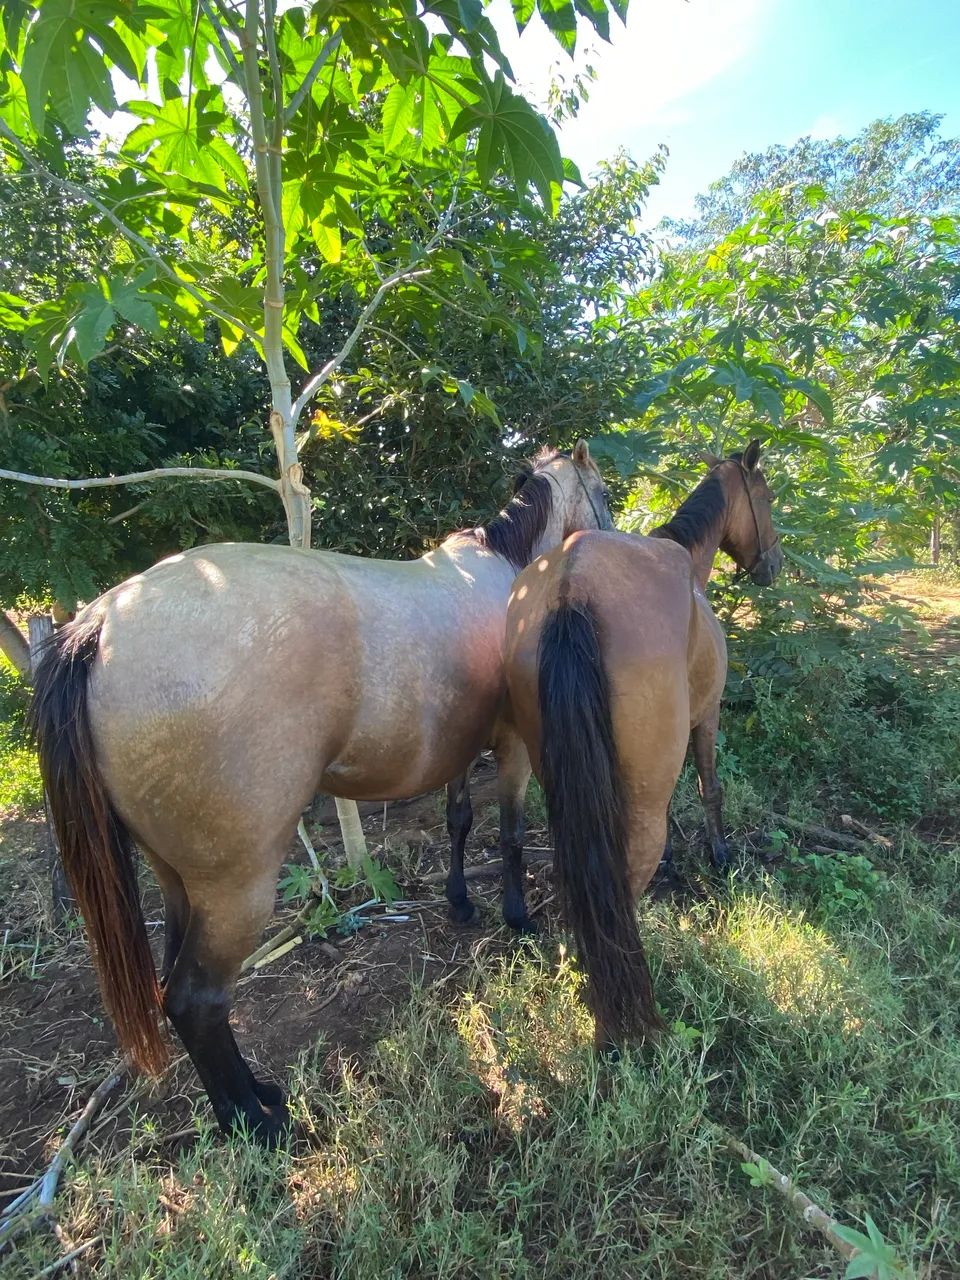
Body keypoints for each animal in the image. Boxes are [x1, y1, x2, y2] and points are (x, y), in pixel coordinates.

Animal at [30, 442, 612, 1142]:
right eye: (605, 495)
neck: (502, 570)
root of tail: (98, 625)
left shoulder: (458, 746)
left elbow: (460, 821)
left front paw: (461, 902)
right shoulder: (512, 742)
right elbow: (512, 831)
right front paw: (518, 918)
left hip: (177, 881)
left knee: (175, 992)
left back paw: (255, 1097)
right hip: (237, 890)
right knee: (197, 999)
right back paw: (255, 1124)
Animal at [502, 441, 783, 1050]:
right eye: (768, 496)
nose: (773, 565)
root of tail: (572, 586)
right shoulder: (708, 714)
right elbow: (708, 789)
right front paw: (719, 857)